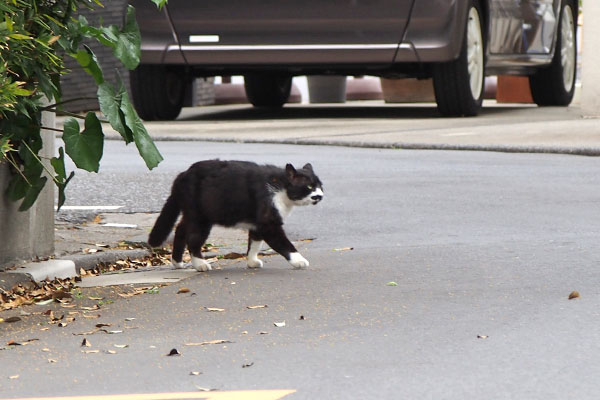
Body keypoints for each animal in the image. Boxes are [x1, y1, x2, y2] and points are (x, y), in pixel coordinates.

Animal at [147, 159, 324, 272]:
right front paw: (299, 260)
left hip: (192, 214)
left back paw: (177, 262)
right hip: (200, 218)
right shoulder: (268, 223)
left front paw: (252, 261)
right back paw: (200, 264)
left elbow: (254, 243)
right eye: (309, 186)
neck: (280, 188)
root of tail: (182, 175)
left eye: (320, 186)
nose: (320, 195)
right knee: (193, 240)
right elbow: (284, 244)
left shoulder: (258, 224)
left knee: (180, 229)